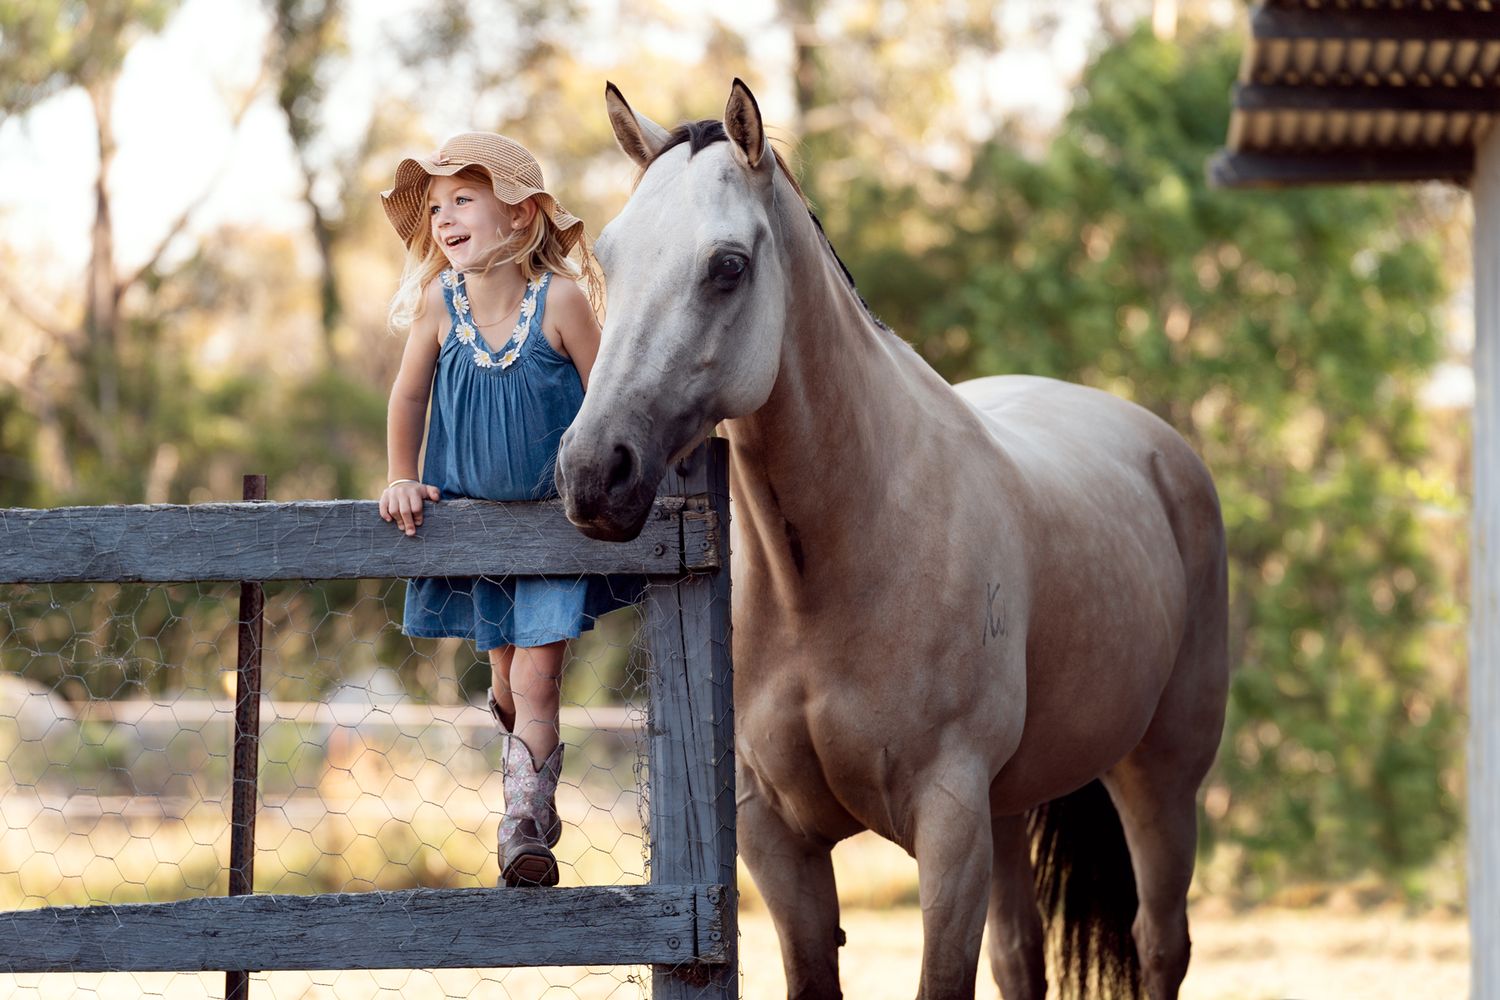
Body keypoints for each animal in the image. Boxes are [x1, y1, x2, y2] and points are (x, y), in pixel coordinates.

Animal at [557, 80, 1229, 1000]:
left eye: (727, 266)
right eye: (609, 257)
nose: (594, 473)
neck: (829, 576)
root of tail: (1160, 448)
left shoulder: (949, 830)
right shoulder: (777, 838)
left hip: (1157, 779)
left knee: (1162, 944)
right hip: (1011, 811)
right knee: (1021, 959)